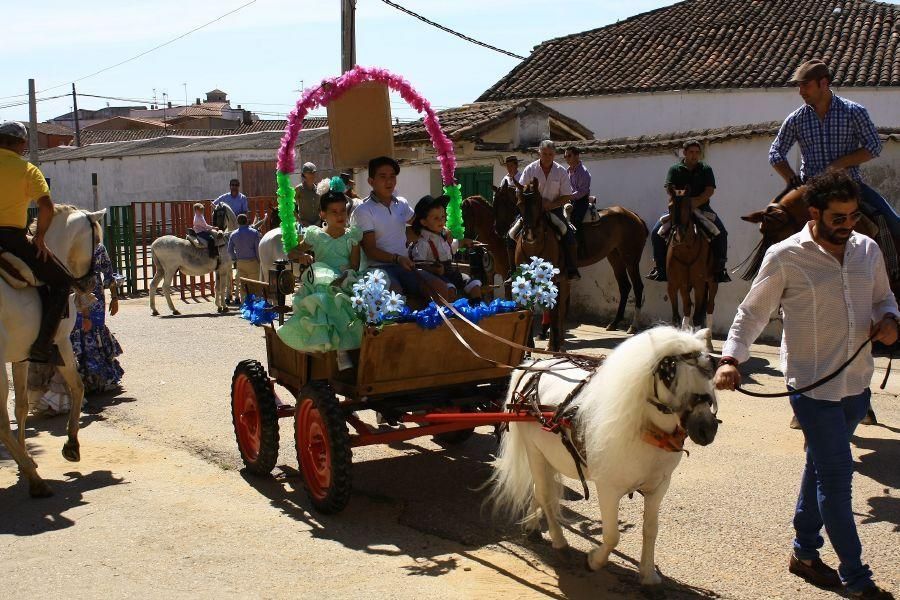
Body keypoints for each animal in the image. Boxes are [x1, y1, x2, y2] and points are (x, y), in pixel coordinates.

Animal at [0, 206, 104, 496]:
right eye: (97, 241)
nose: (89, 285)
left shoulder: (21, 355)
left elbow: (21, 406)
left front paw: (25, 457)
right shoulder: (61, 341)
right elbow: (77, 386)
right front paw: (71, 445)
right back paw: (37, 482)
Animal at [488, 328, 720, 584]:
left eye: (710, 370)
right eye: (670, 375)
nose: (706, 429)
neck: (648, 433)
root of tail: (532, 366)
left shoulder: (658, 487)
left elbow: (651, 529)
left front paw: (648, 575)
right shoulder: (608, 489)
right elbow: (612, 536)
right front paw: (594, 561)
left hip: (550, 454)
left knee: (540, 490)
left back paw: (532, 526)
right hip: (534, 450)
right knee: (546, 494)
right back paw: (559, 542)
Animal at [668, 192, 716, 352]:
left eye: (687, 207)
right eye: (669, 207)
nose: (678, 235)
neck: (686, 249)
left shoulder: (699, 283)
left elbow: (697, 314)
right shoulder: (681, 283)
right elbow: (686, 309)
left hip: (712, 282)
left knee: (709, 306)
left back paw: (708, 344)